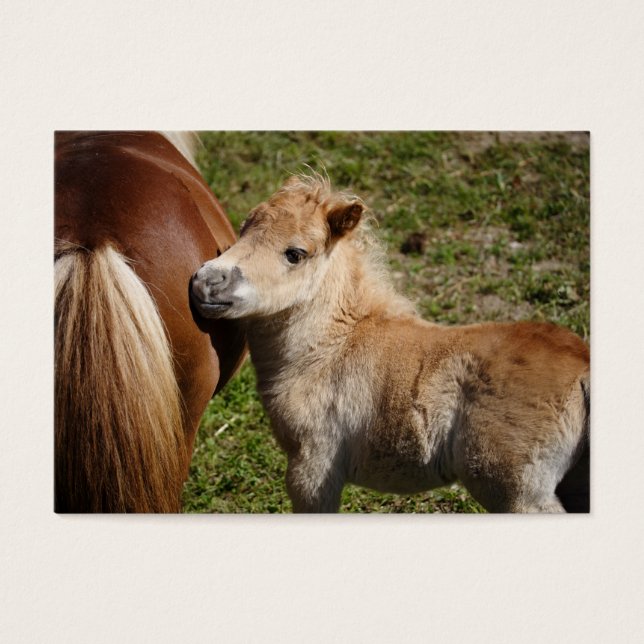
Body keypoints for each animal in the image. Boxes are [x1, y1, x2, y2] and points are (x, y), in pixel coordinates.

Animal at [190, 173, 590, 513]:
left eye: (295, 253)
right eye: (244, 229)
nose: (205, 282)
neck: (329, 350)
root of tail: (584, 370)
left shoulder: (313, 466)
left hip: (519, 492)